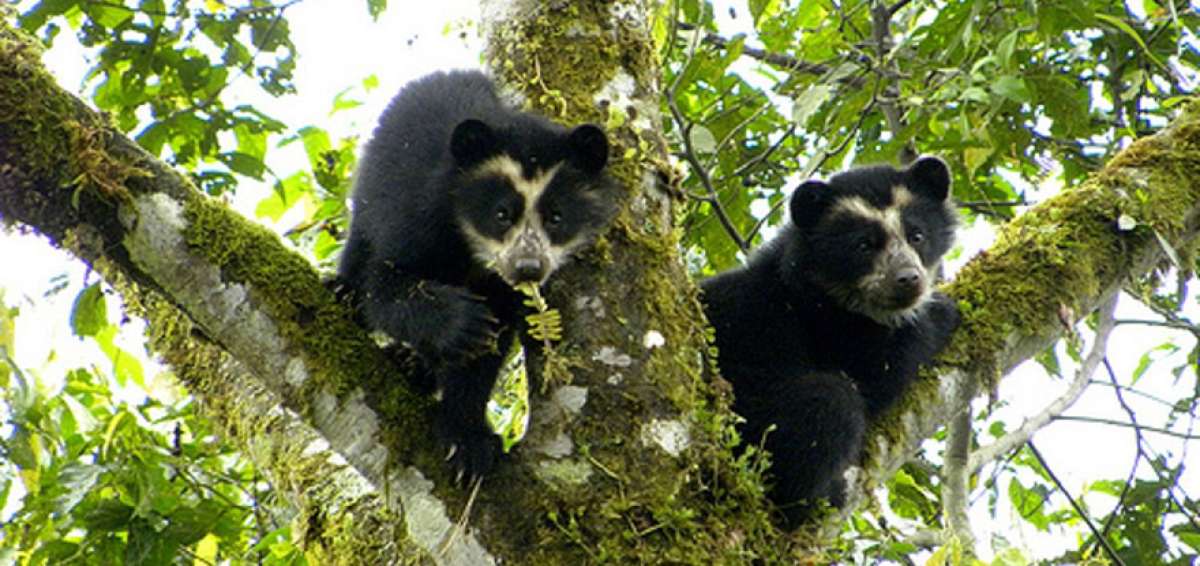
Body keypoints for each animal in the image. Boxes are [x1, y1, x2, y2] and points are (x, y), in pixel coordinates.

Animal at [337, 70, 620, 482]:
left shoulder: (503, 291)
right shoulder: (415, 217)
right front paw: (465, 322)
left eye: (556, 217)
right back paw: (343, 292)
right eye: (501, 214)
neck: (473, 250)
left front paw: (469, 445)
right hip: (371, 185)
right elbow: (387, 286)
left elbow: (486, 351)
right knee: (360, 245)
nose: (528, 268)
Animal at [700, 156, 960, 526]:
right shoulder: (823, 329)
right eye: (863, 245)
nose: (908, 279)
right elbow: (878, 373)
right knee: (831, 399)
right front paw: (941, 312)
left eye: (917, 235)